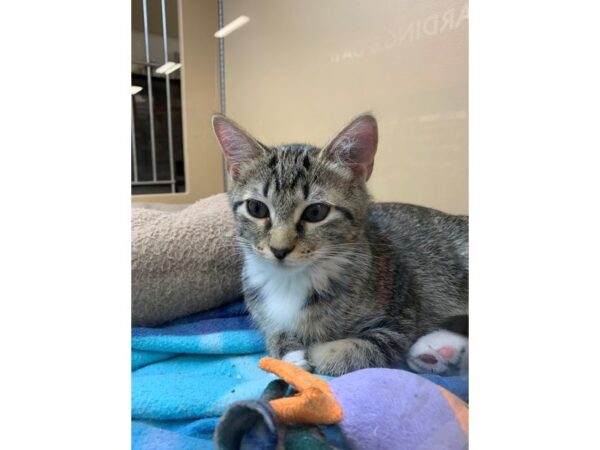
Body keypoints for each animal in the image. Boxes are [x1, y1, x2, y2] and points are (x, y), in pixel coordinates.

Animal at [211, 113, 468, 376]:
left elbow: (365, 348)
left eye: (315, 212)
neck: (292, 281)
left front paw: (315, 355)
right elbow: (276, 336)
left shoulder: (403, 316)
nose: (279, 249)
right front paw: (290, 355)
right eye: (257, 208)